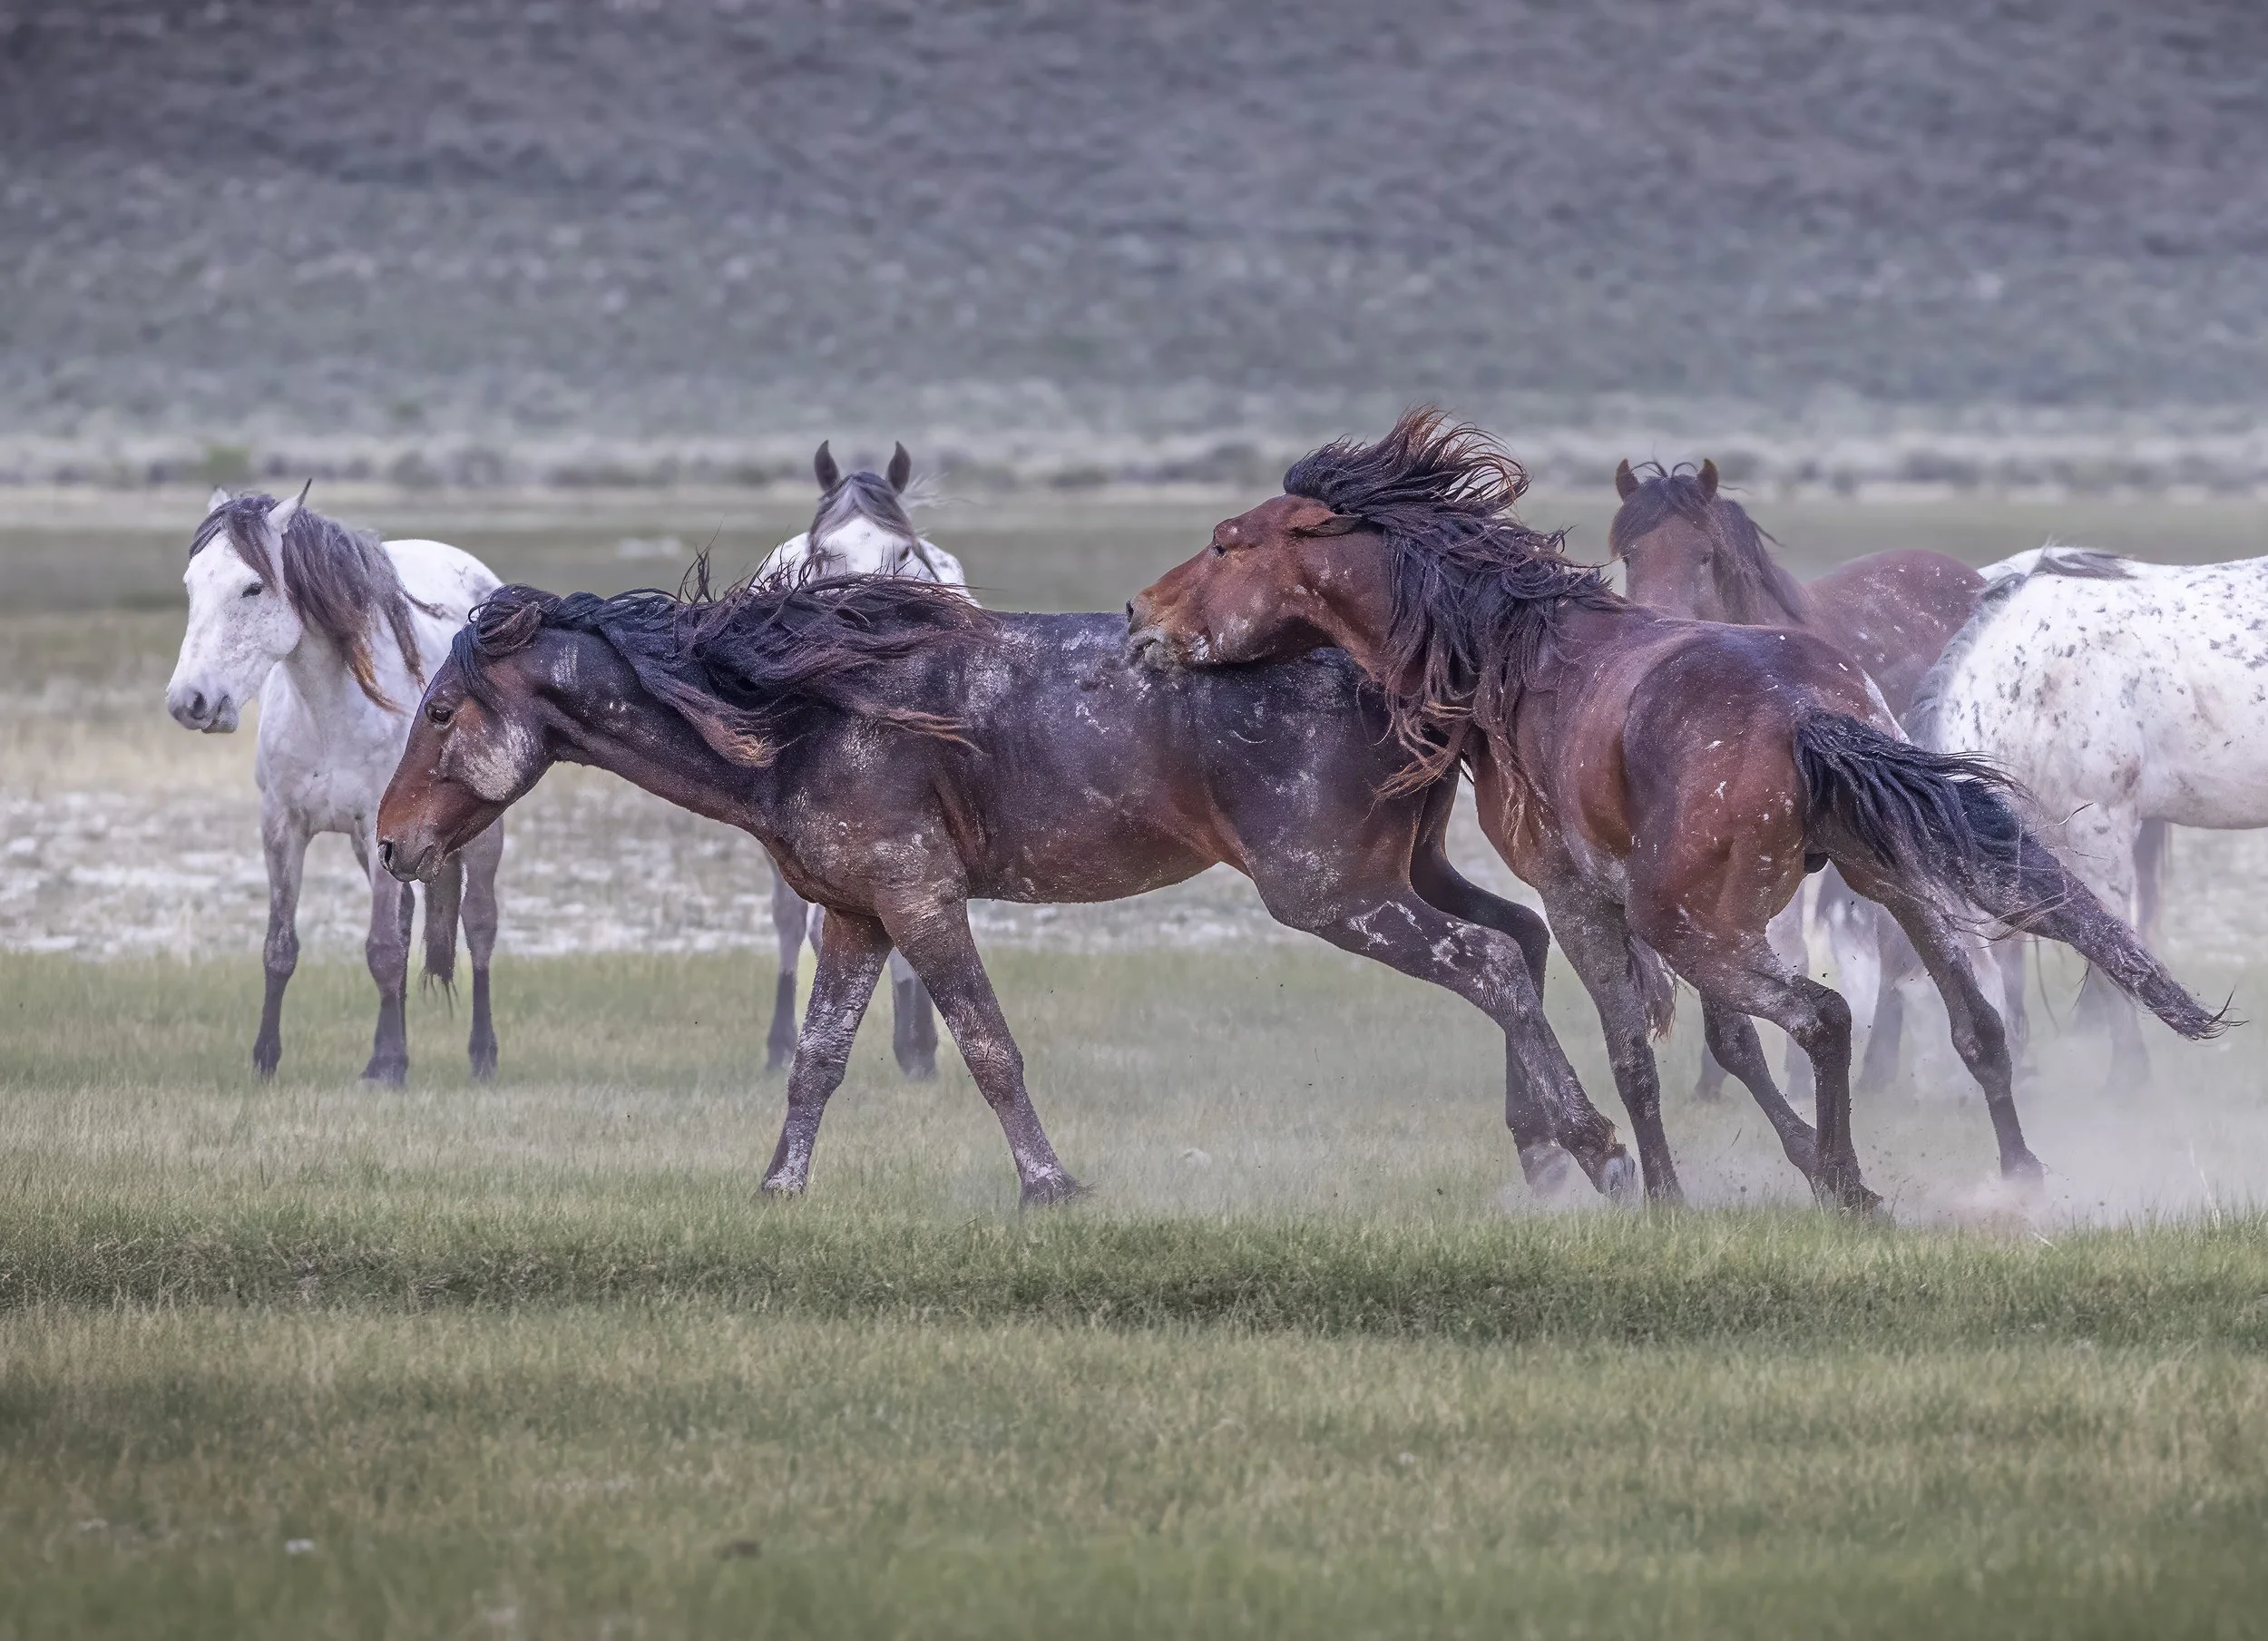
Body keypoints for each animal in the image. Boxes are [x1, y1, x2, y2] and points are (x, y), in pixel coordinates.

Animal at [165, 487, 506, 1083]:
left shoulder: (375, 832)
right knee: (409, 920)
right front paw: (266, 1060)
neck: (328, 710)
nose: (190, 701)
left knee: (479, 925)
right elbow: (281, 947)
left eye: (252, 587)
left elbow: (383, 950)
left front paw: (387, 1069)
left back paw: (481, 1056)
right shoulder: (282, 828)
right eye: (191, 585)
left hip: (483, 835)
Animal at [374, 570, 1642, 1207]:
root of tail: (1402, 672)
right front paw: (778, 1188)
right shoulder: (856, 913)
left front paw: (1049, 1185)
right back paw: (1543, 1157)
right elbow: (818, 1059)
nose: (389, 846)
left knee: (1488, 962)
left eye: (439, 711)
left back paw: (1599, 1152)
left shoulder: (920, 899)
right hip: (1397, 874)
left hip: (1334, 894)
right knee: (1520, 944)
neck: (796, 717)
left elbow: (987, 1047)